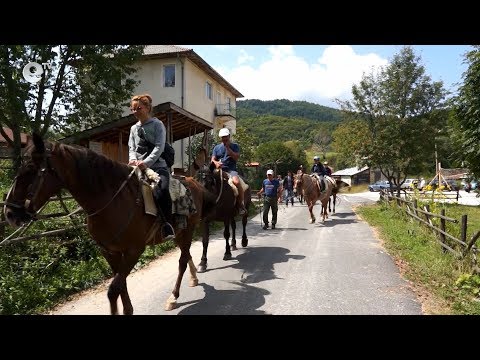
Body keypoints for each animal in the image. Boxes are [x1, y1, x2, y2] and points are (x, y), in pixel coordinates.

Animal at [2, 134, 216, 314]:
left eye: (31, 169)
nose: (10, 213)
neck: (111, 200)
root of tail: (194, 183)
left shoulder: (134, 250)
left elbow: (114, 289)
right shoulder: (109, 252)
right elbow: (121, 286)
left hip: (187, 230)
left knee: (182, 260)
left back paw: (173, 296)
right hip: (178, 233)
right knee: (186, 255)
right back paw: (194, 278)